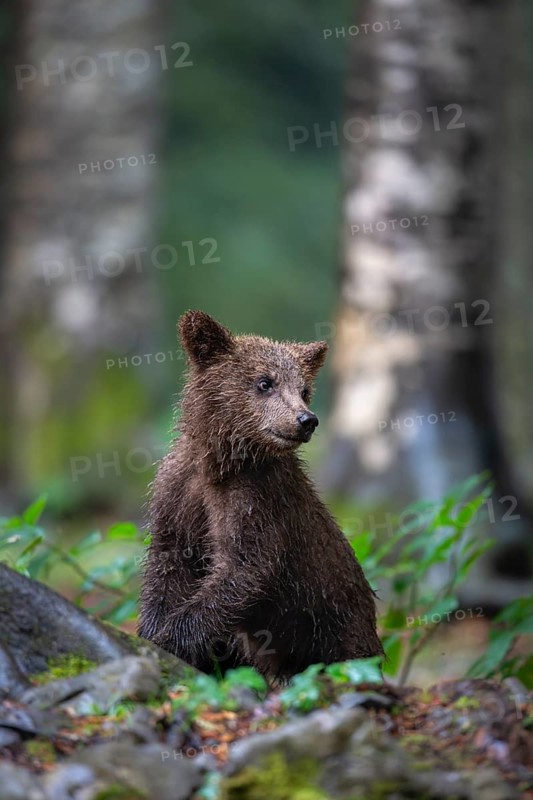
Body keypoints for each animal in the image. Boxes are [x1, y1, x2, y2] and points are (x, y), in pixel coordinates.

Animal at [138, 310, 383, 680]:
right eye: (265, 382)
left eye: (304, 389)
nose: (306, 420)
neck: (221, 463)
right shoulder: (178, 491)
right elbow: (167, 564)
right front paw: (152, 633)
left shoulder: (256, 498)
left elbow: (245, 568)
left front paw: (172, 639)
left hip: (336, 627)